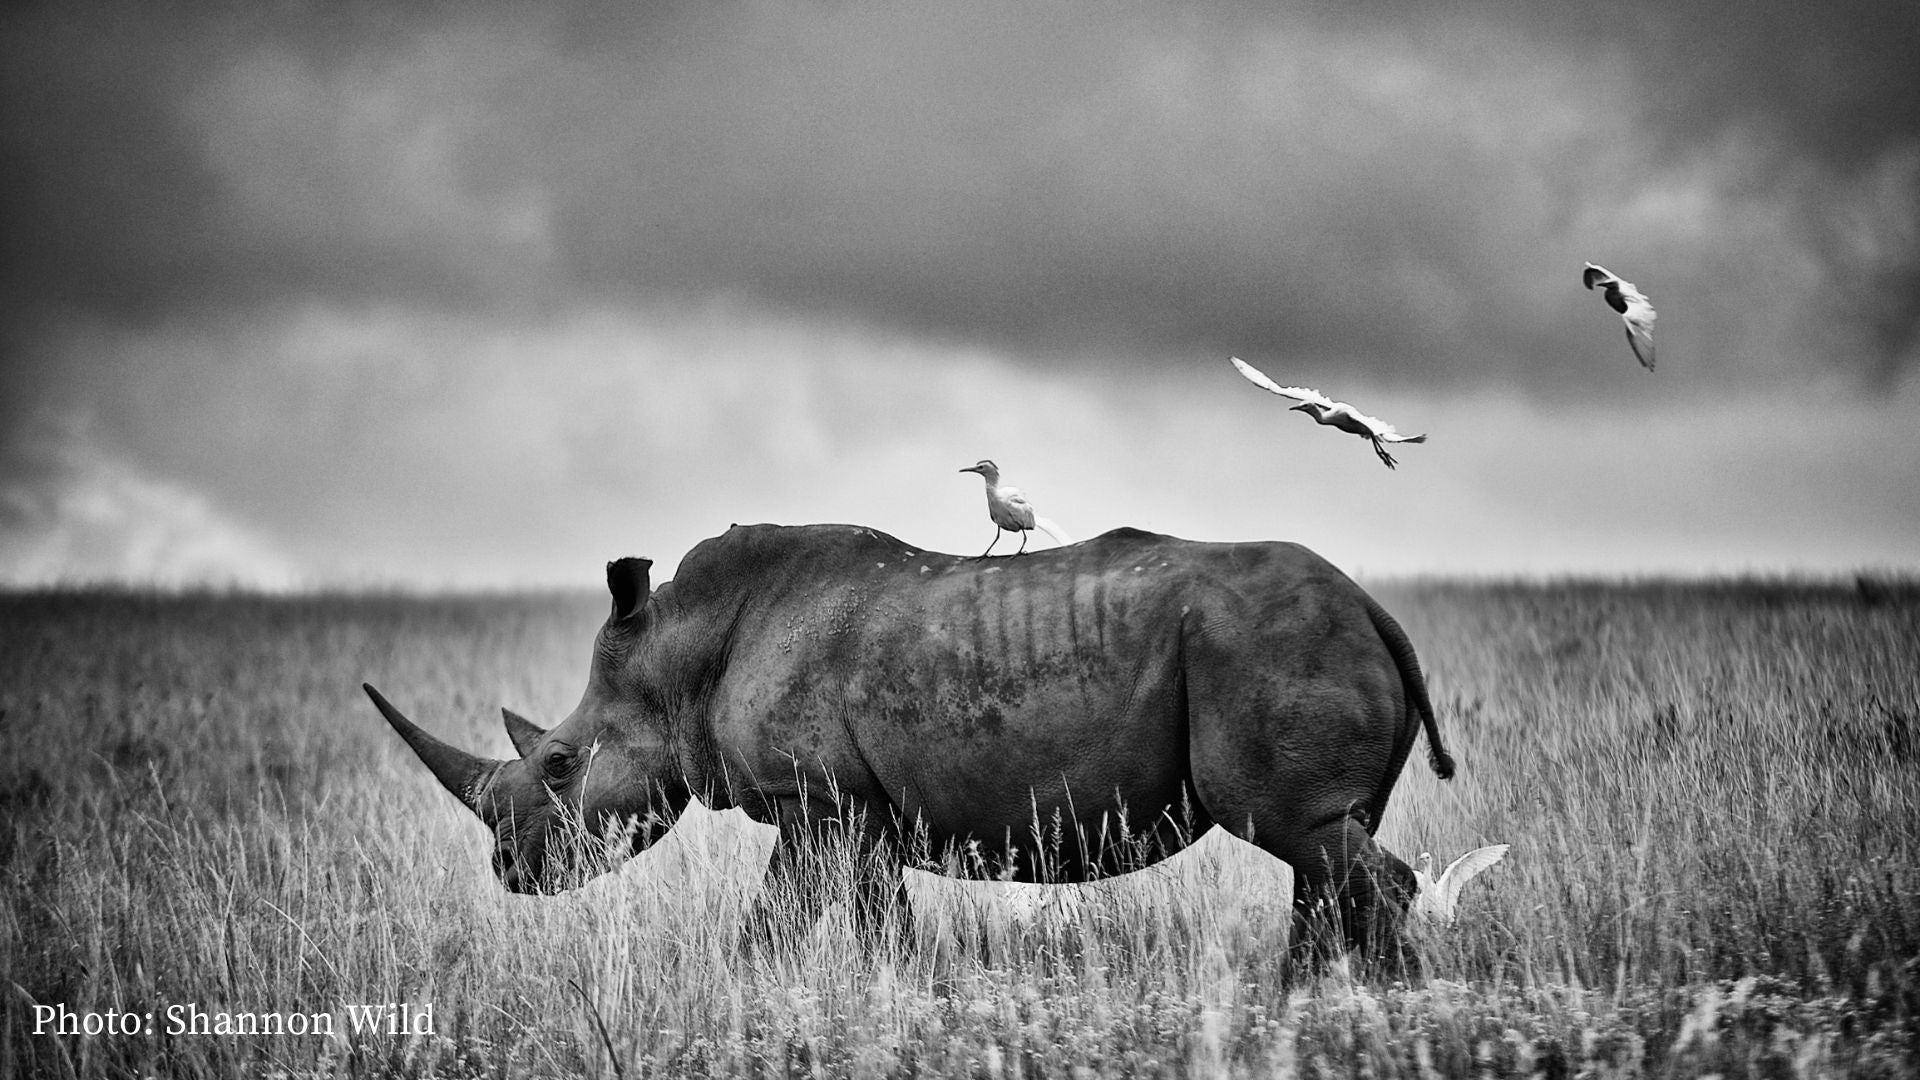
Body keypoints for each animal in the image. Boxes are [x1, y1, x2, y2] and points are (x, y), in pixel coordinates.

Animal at [366, 523, 1454, 964]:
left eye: (558, 766)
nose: (508, 873)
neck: (679, 655)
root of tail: (1375, 609)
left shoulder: (814, 798)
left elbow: (774, 923)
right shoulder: (860, 808)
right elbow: (874, 921)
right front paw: (902, 997)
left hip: (1271, 648)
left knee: (1306, 839)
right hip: (1305, 648)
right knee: (1324, 848)